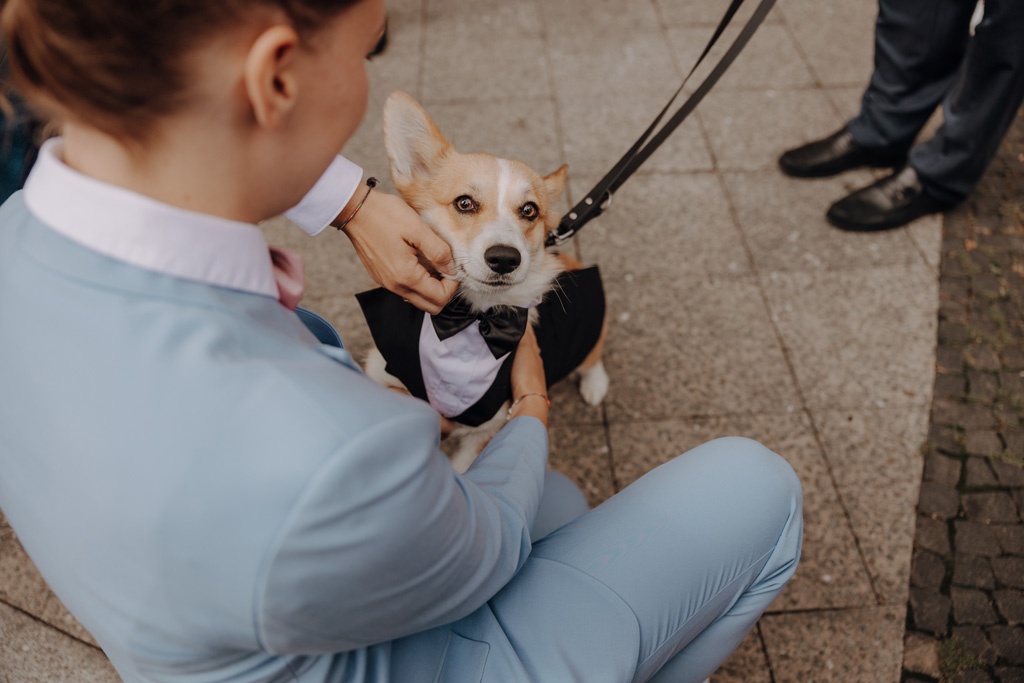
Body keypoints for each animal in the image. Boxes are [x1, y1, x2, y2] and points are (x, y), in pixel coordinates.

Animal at [358, 90, 606, 473]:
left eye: (529, 210)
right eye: (464, 203)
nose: (504, 258)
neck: (473, 319)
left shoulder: (488, 429)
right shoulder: (382, 374)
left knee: (594, 356)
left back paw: (595, 385)